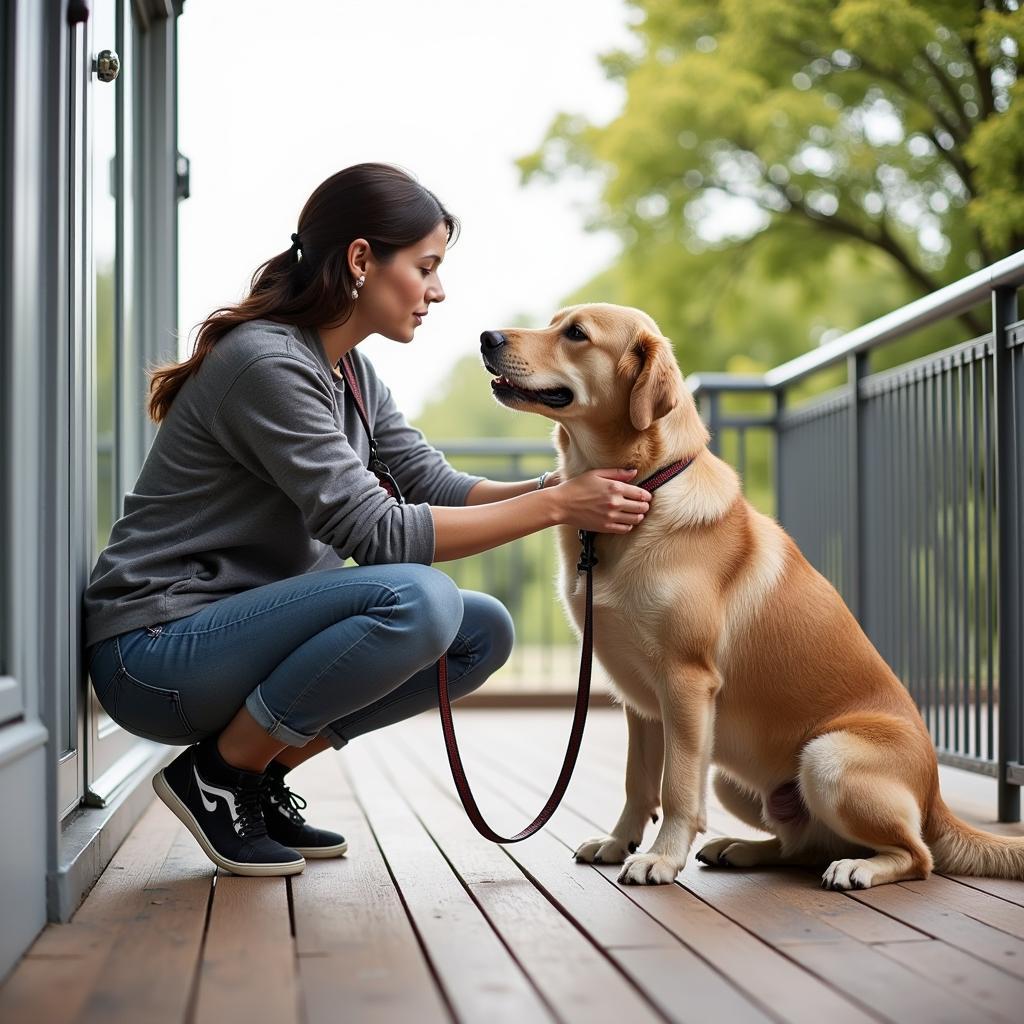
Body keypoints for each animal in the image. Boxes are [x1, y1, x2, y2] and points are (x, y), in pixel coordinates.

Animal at [479, 299, 1024, 884]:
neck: (648, 485)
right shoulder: (640, 700)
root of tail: (936, 796)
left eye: (577, 334)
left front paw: (660, 858)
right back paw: (740, 848)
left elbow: (676, 786)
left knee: (916, 857)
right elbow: (637, 781)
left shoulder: (686, 684)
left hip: (826, 758)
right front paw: (619, 840)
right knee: (803, 846)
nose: (486, 337)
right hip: (734, 778)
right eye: (554, 323)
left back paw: (858, 868)